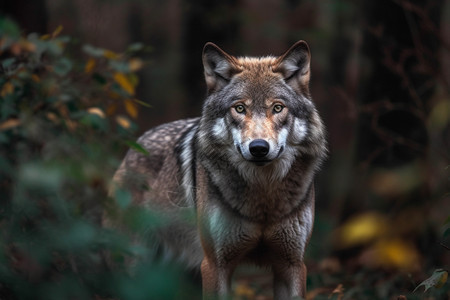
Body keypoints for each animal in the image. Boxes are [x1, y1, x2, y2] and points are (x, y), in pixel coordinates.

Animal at [109, 40, 326, 300]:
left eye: (277, 108)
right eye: (239, 108)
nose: (259, 148)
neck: (262, 198)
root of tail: (136, 146)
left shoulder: (292, 264)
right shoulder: (215, 264)